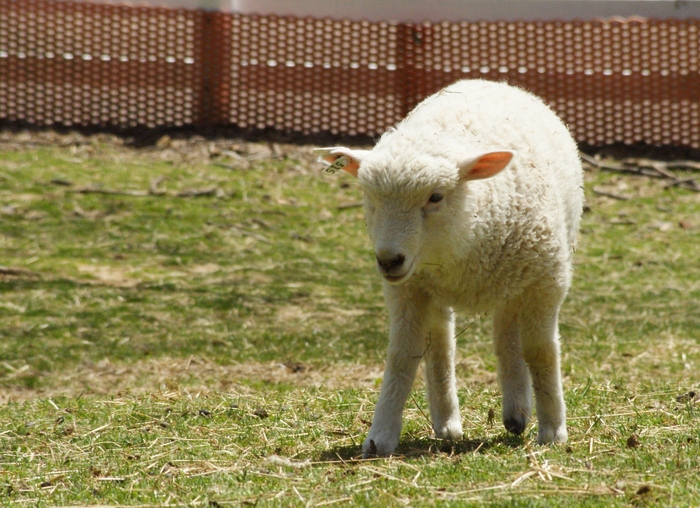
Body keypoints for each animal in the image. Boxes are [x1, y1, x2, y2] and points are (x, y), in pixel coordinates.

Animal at [314, 78, 584, 456]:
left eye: (436, 197)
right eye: (371, 198)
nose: (389, 260)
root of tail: (488, 80)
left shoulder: (546, 282)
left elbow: (541, 351)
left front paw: (553, 431)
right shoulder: (408, 288)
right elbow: (402, 355)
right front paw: (380, 435)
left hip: (518, 274)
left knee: (506, 334)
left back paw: (516, 411)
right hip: (434, 287)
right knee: (442, 343)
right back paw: (449, 421)